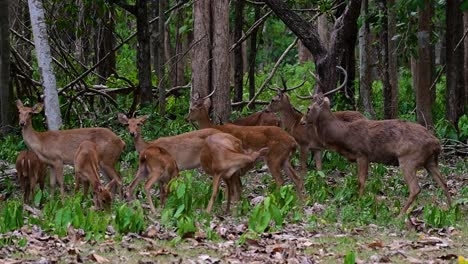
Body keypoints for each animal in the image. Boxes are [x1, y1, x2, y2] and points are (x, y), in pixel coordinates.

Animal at [302, 95, 452, 217]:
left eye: (308, 108)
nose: (302, 121)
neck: (343, 135)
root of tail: (436, 143)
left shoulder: (362, 154)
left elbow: (361, 181)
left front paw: (359, 202)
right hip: (430, 161)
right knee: (444, 183)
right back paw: (450, 210)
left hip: (409, 159)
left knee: (415, 188)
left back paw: (400, 215)